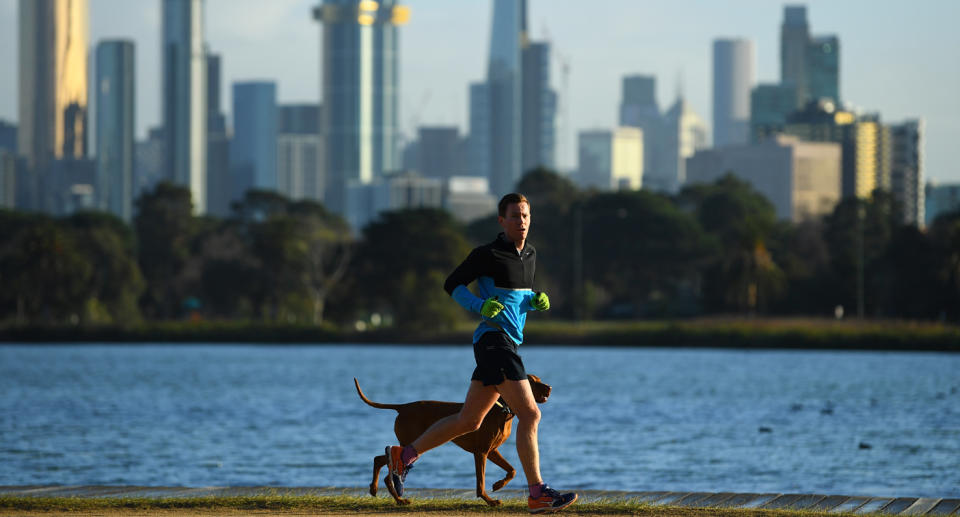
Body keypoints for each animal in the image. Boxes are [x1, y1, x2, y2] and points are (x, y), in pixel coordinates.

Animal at [354, 372, 552, 506]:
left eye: (539, 380)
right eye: (532, 382)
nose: (550, 387)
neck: (502, 410)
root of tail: (404, 407)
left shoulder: (491, 451)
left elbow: (512, 470)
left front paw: (498, 485)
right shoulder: (481, 452)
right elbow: (480, 483)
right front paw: (489, 500)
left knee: (380, 460)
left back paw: (384, 493)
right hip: (412, 443)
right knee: (386, 464)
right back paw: (394, 497)